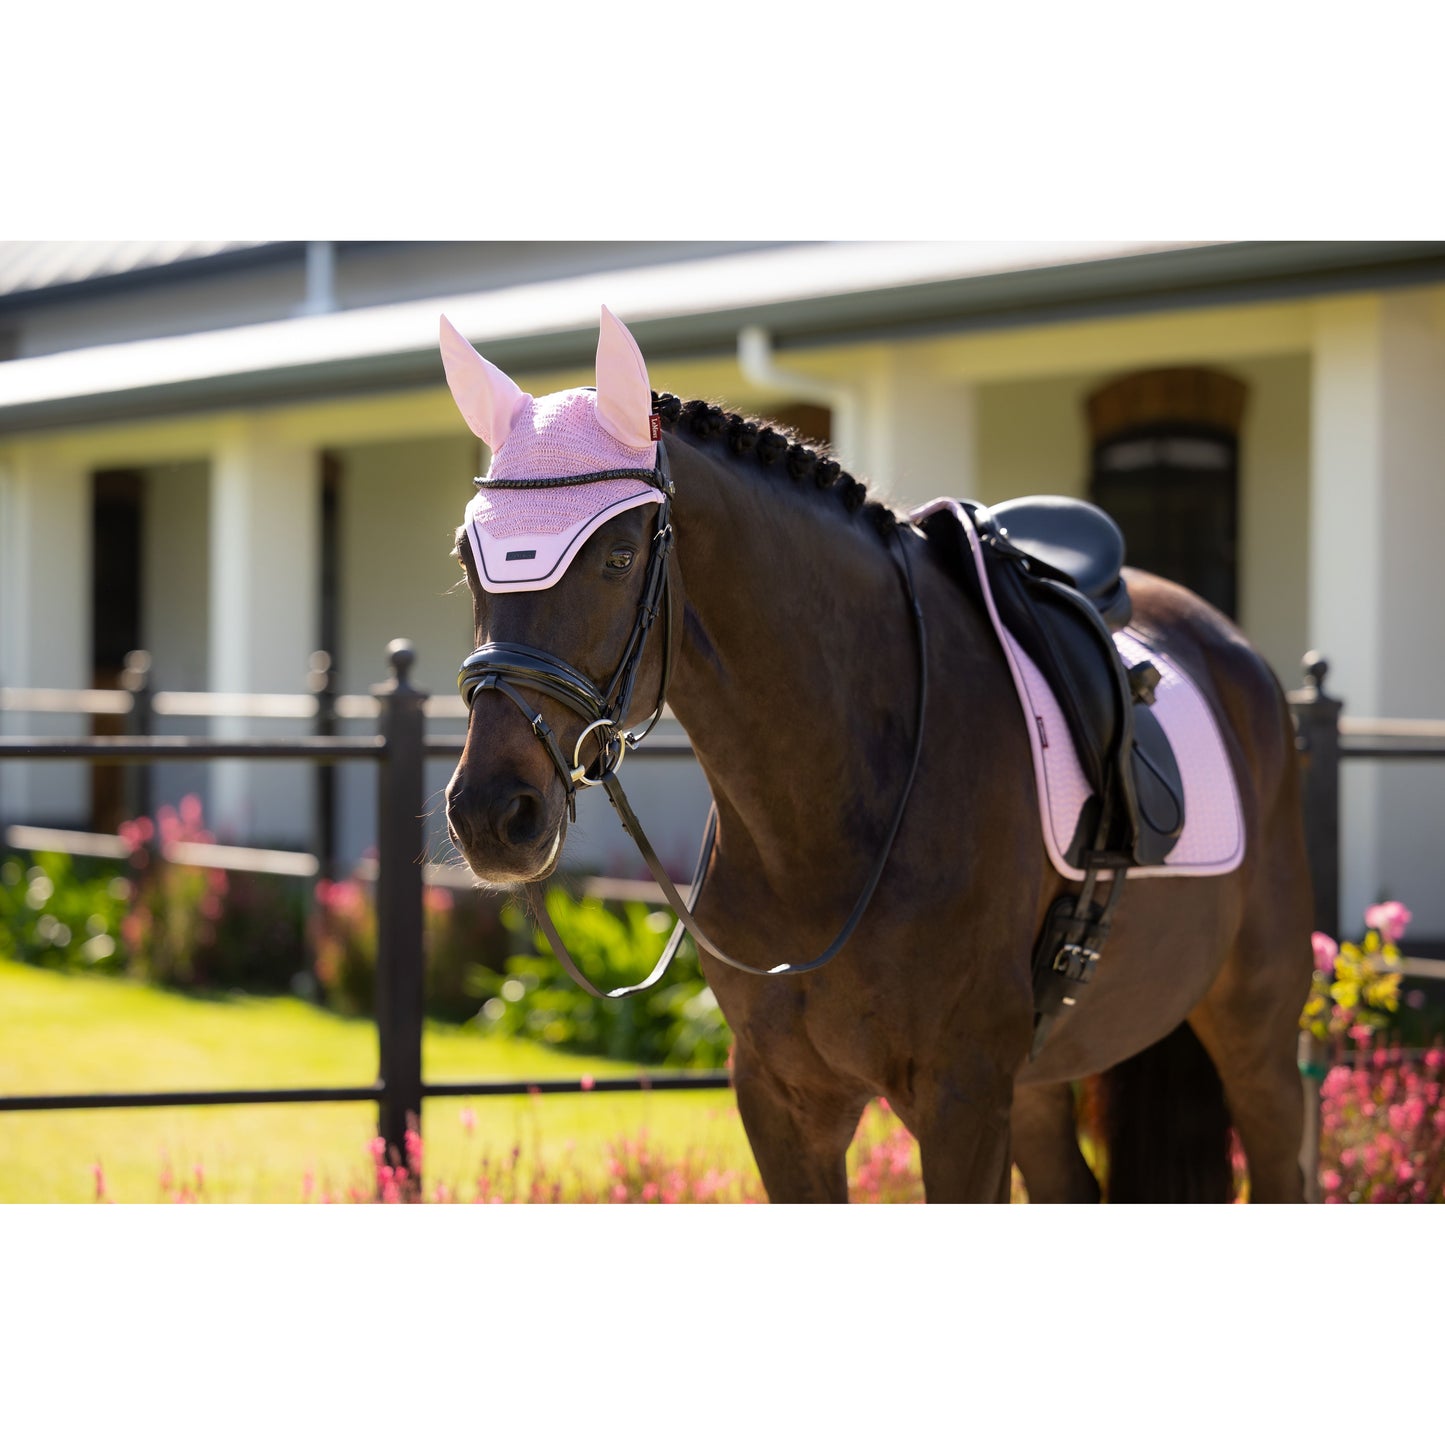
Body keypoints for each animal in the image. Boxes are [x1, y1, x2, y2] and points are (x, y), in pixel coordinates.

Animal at [440, 306, 1315, 1203]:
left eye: (617, 557)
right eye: (469, 561)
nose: (491, 814)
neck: (828, 806)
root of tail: (1231, 647)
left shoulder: (962, 1096)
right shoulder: (783, 1096)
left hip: (1257, 1032)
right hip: (1041, 1080)